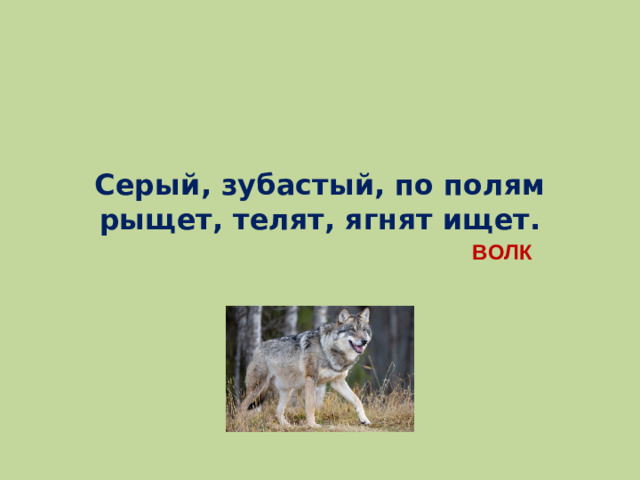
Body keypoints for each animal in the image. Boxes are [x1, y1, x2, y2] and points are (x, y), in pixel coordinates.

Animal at [240, 307, 372, 427]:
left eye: (364, 330)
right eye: (352, 329)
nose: (364, 341)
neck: (326, 348)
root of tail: (257, 348)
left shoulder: (338, 382)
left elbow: (357, 400)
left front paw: (364, 419)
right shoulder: (311, 378)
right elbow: (311, 405)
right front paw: (312, 425)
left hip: (287, 391)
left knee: (277, 412)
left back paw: (288, 426)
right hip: (257, 389)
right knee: (241, 407)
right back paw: (239, 424)